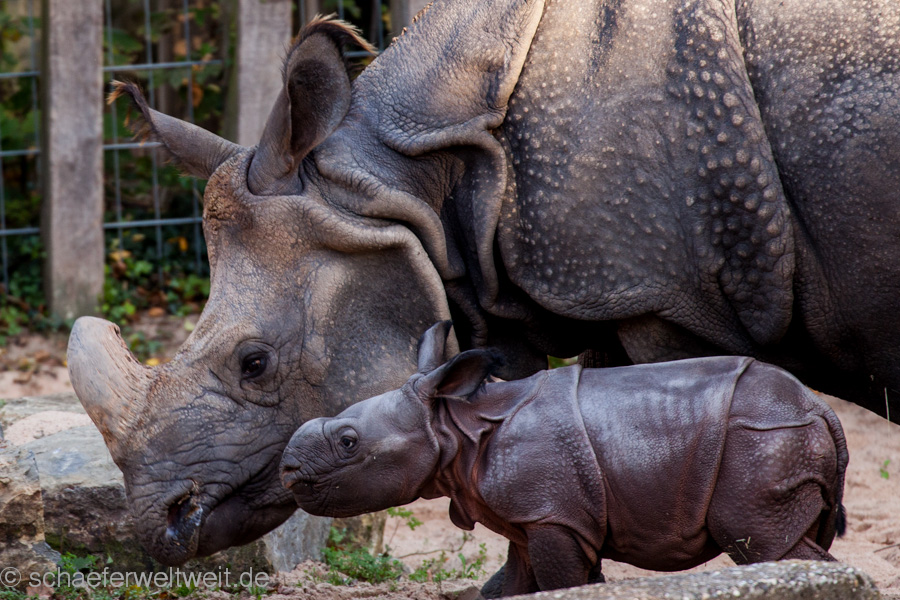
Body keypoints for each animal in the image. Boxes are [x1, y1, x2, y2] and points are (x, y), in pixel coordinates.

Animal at [281, 321, 849, 596]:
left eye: (348, 442)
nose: (287, 469)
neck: (453, 425)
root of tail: (818, 407)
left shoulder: (554, 514)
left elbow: (563, 584)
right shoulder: (536, 517)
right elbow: (511, 587)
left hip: (762, 438)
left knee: (764, 542)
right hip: (780, 436)